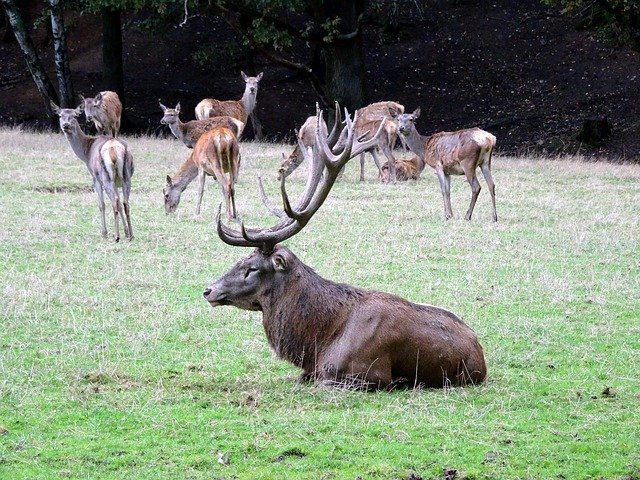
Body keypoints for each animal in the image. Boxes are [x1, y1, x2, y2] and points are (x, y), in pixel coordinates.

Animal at [52, 102, 136, 242]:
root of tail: (114, 150)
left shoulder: (95, 178)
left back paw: (116, 236)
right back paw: (131, 235)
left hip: (105, 177)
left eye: (75, 116)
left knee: (114, 201)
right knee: (125, 202)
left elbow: (101, 204)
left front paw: (104, 233)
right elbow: (120, 203)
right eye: (60, 115)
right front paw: (126, 232)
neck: (86, 153)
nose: (66, 125)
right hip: (126, 176)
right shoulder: (116, 182)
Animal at [202, 106, 488, 390]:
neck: (318, 343)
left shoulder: (368, 374)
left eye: (251, 268)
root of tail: (481, 355)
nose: (208, 290)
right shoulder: (311, 371)